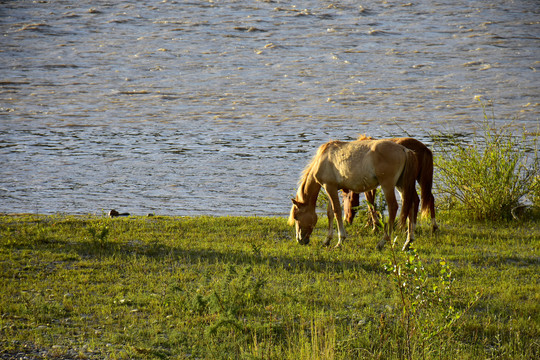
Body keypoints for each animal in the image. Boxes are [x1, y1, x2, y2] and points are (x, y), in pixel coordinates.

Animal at [286, 138, 418, 250]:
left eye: (296, 216)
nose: (299, 240)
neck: (323, 158)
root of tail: (404, 149)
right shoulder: (331, 188)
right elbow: (330, 213)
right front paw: (327, 240)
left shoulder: (329, 187)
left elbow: (337, 212)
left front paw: (340, 241)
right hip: (401, 185)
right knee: (411, 205)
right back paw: (408, 242)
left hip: (388, 185)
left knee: (393, 207)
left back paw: (382, 242)